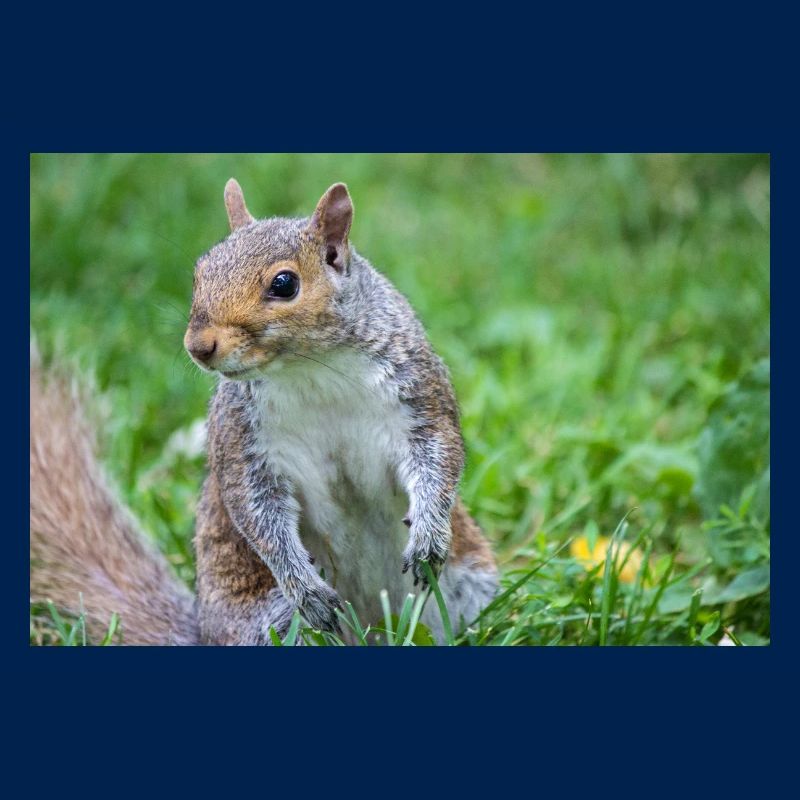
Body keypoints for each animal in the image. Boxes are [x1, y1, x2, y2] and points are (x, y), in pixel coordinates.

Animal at [29, 181, 498, 645]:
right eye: (200, 272)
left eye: (284, 284)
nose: (198, 346)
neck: (311, 368)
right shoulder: (243, 443)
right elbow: (258, 513)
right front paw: (306, 589)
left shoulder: (419, 395)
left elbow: (437, 458)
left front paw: (428, 538)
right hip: (271, 622)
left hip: (469, 582)